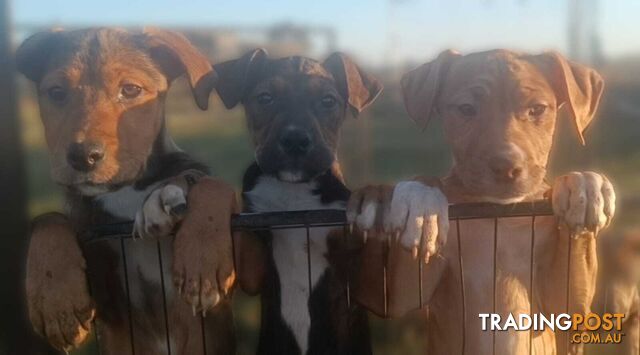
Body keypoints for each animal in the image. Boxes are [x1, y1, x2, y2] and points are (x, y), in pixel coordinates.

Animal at [21, 28, 239, 355]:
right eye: (57, 93)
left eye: (131, 90)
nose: (83, 157)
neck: (124, 190)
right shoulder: (108, 301)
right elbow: (49, 219)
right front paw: (55, 299)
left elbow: (212, 184)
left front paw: (202, 255)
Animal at [350, 50, 616, 355]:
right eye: (466, 109)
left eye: (537, 109)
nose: (506, 167)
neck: (495, 213)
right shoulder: (401, 293)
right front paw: (422, 200)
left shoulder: (567, 307)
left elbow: (570, 301)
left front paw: (583, 185)